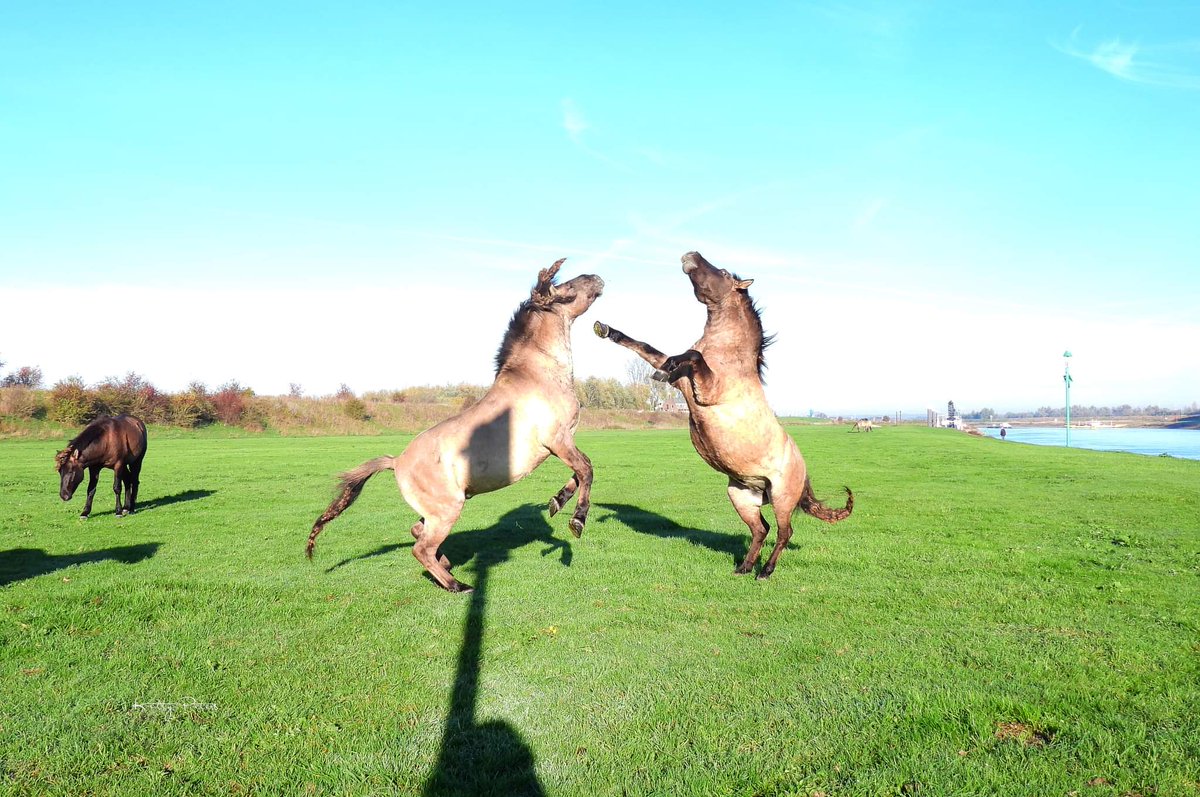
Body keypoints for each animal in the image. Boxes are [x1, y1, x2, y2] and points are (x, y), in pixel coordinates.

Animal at [307, 259, 604, 593]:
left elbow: (580, 472)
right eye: (565, 287)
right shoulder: (557, 440)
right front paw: (577, 521)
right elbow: (587, 469)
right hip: (448, 509)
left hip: (436, 511)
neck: (538, 377)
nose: (596, 277)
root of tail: (397, 462)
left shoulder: (564, 442)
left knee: (417, 532)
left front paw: (556, 502)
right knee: (421, 548)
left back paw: (447, 566)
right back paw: (457, 585)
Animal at [593, 251, 852, 579]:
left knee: (784, 532)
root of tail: (804, 472)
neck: (728, 352)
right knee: (761, 530)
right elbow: (645, 347)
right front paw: (607, 330)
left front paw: (669, 367)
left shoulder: (708, 388)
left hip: (781, 498)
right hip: (741, 496)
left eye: (725, 272)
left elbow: (691, 357)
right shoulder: (683, 382)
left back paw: (765, 571)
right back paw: (744, 567)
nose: (689, 255)